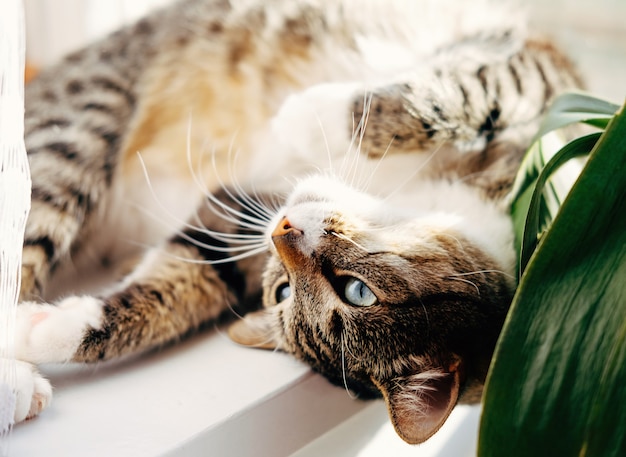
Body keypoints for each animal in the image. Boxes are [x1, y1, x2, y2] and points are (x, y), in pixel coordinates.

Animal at [9, 0, 576, 446]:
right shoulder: (539, 83)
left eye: (356, 292)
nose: (282, 229)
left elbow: (185, 280)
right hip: (76, 133)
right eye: (283, 291)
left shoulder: (238, 210)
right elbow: (449, 97)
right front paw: (306, 114)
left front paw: (40, 332)